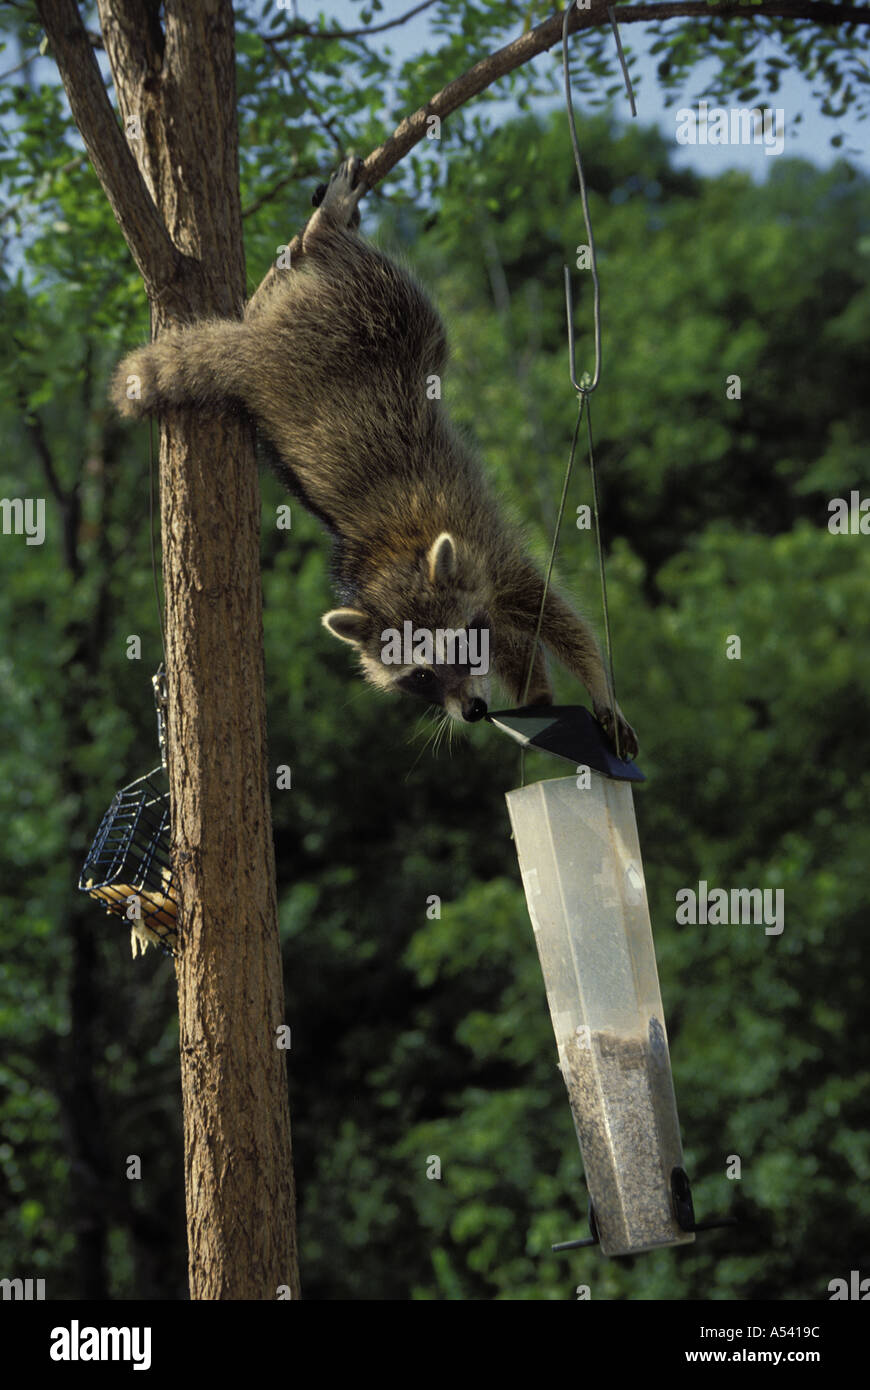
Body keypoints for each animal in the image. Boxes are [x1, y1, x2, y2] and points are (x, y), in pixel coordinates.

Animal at [111, 156, 633, 756]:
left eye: (459, 648)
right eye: (420, 676)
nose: (474, 711)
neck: (396, 555)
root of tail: (254, 350)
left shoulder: (488, 554)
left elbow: (549, 619)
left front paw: (586, 689)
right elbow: (520, 627)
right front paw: (543, 691)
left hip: (361, 311)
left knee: (393, 290)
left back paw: (323, 232)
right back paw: (323, 232)